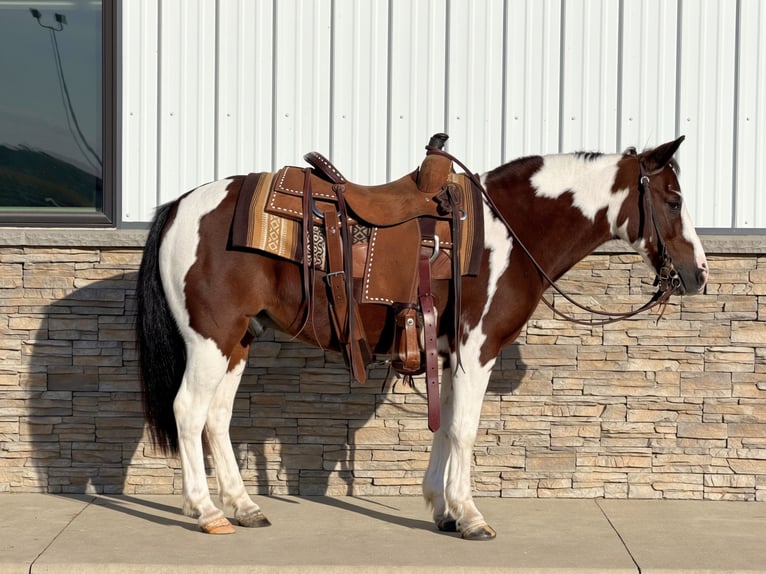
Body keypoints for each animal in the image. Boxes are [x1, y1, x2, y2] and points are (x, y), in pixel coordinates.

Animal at [136, 135, 708, 539]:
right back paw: (207, 511)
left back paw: (244, 506)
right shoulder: (478, 350)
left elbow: (443, 428)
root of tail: (180, 205)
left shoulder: (449, 353)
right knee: (188, 410)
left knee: (216, 416)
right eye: (674, 200)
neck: (508, 231)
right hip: (210, 339)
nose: (699, 274)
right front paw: (471, 516)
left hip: (238, 342)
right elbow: (464, 432)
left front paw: (443, 510)